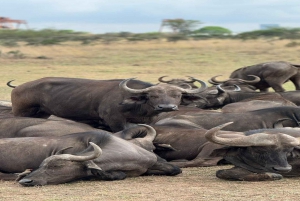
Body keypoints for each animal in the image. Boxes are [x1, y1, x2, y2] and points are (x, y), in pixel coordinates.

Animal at [9, 77, 206, 132]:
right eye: (153, 95)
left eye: (177, 95)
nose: (166, 108)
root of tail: (18, 87)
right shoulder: (114, 120)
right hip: (20, 112)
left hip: (41, 113)